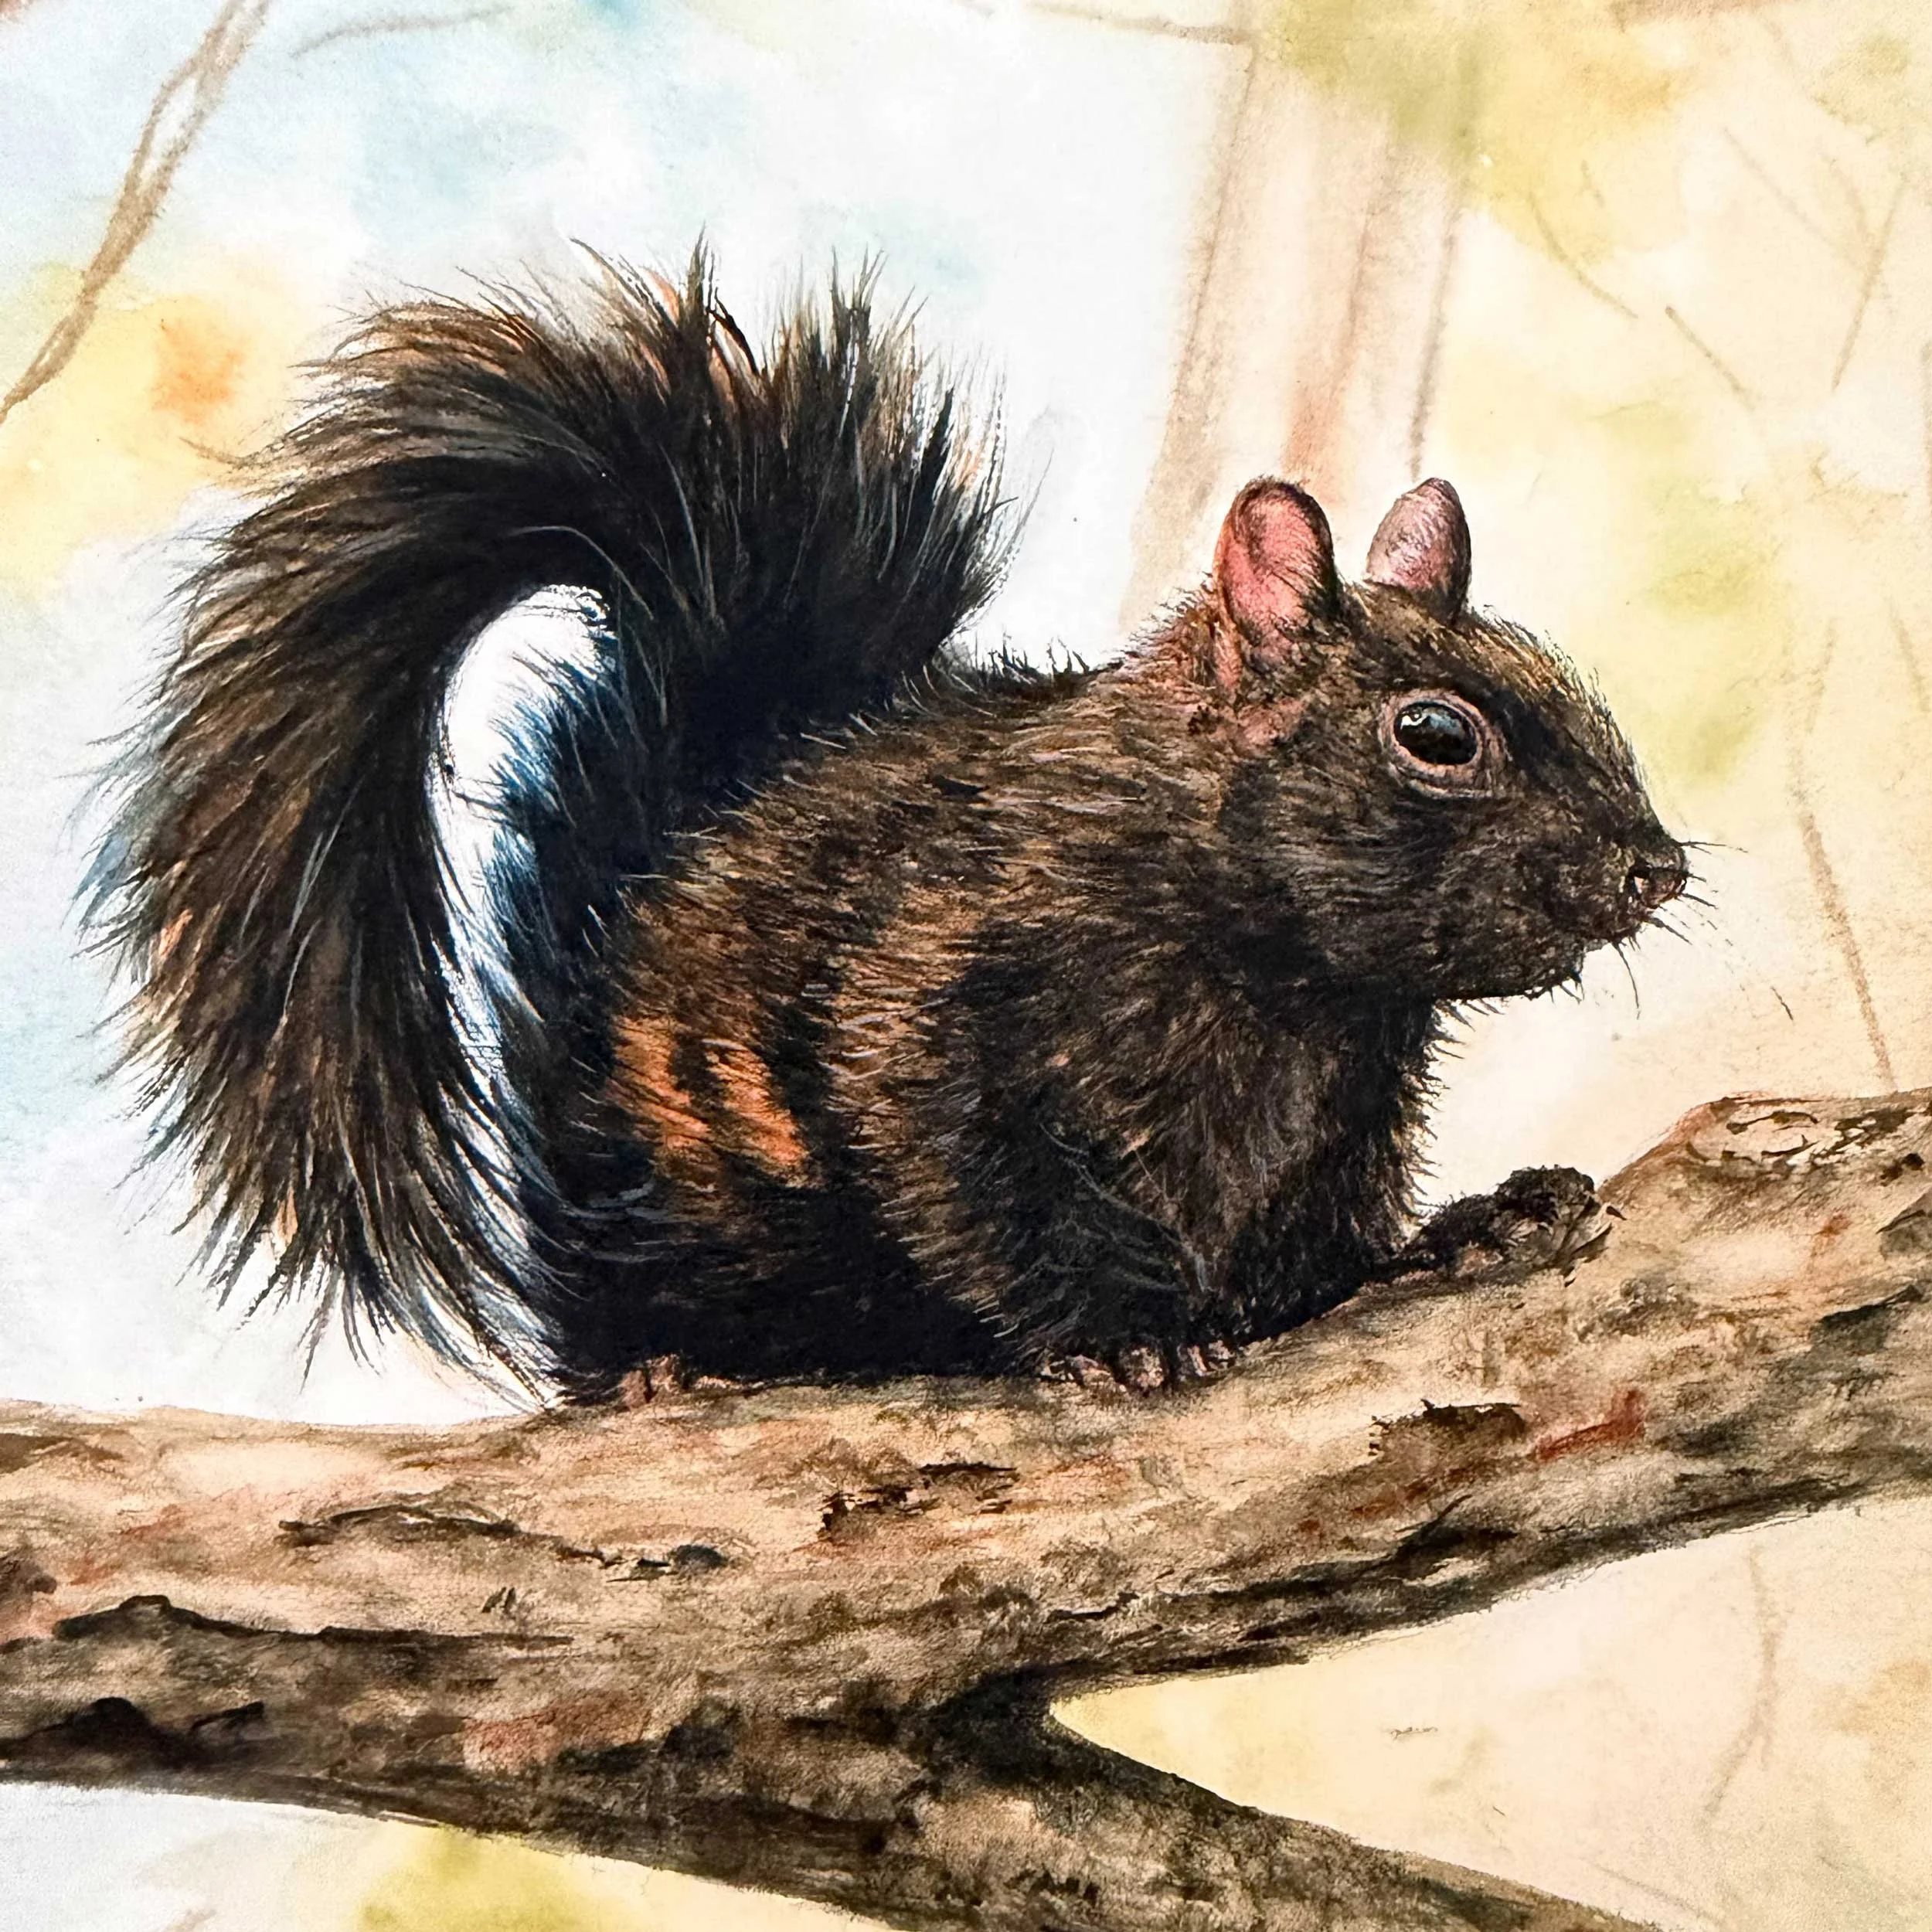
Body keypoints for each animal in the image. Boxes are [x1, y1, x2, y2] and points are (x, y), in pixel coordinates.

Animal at [88, 251, 1687, 1399]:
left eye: (1569, 682)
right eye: (1437, 736)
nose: (1656, 868)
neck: (1287, 989)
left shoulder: (1339, 1121)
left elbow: (1322, 1260)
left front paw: (1461, 1229)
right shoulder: (932, 1011)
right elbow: (981, 1182)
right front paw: (1125, 1330)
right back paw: (671, 1369)